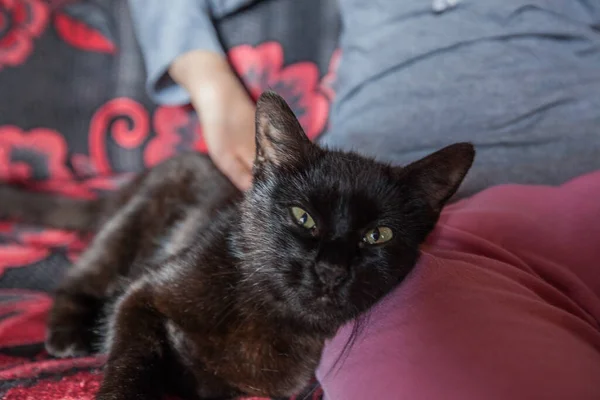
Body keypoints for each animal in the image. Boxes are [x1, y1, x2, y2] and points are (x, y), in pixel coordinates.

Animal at [0, 92, 476, 398]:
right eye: (302, 216)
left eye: (377, 235)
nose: (331, 270)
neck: (264, 314)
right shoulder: (141, 297)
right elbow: (130, 361)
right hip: (134, 222)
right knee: (83, 276)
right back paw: (67, 336)